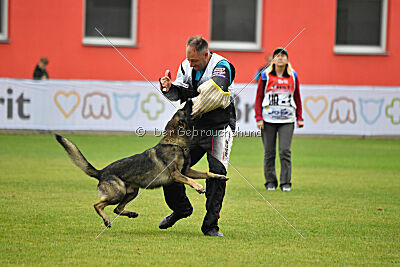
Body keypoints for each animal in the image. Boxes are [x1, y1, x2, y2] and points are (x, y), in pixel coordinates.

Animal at [55, 100, 228, 228]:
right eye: (184, 110)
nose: (190, 99)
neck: (176, 143)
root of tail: (101, 172)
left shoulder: (186, 170)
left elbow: (206, 173)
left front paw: (219, 176)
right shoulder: (177, 174)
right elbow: (190, 180)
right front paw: (199, 187)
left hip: (132, 192)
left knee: (117, 209)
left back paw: (131, 214)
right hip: (117, 193)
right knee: (97, 205)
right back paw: (106, 220)